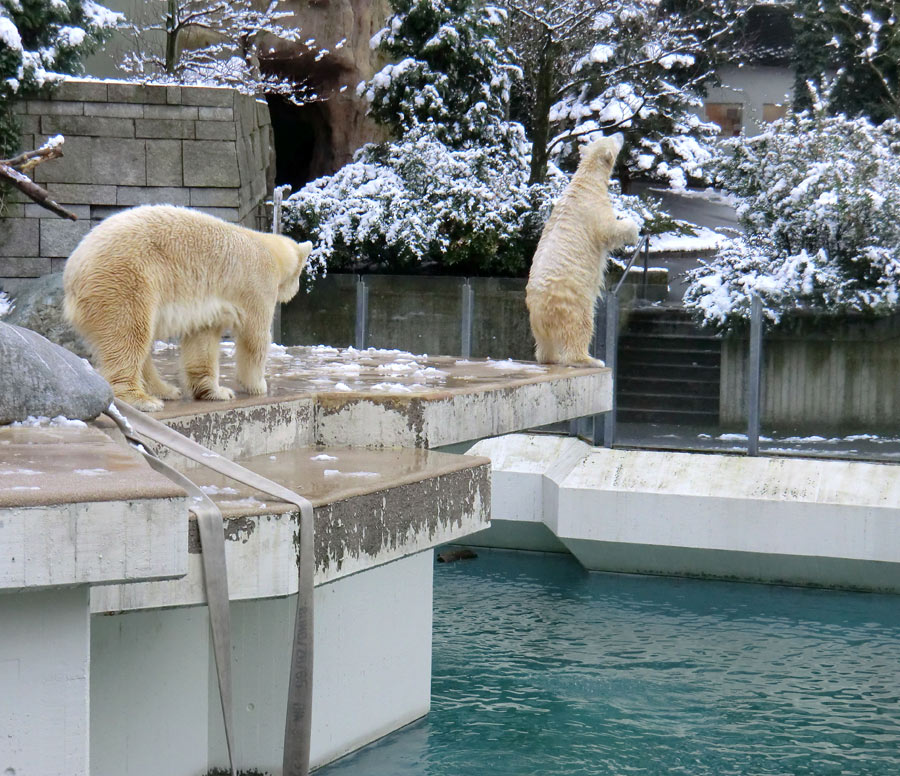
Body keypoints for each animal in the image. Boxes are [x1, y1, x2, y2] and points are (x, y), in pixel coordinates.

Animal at [61, 205, 312, 412]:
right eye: (301, 272)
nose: (298, 288)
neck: (269, 250)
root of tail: (73, 269)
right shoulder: (257, 284)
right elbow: (254, 337)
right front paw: (258, 385)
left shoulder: (207, 304)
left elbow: (202, 340)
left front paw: (216, 392)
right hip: (126, 280)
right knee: (129, 333)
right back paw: (142, 399)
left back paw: (165, 390)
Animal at [524, 132, 644, 366]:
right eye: (613, 138)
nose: (621, 133)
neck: (586, 182)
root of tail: (541, 311)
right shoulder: (595, 209)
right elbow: (610, 230)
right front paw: (634, 229)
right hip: (573, 303)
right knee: (580, 327)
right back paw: (590, 359)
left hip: (538, 324)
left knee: (544, 344)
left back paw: (550, 358)